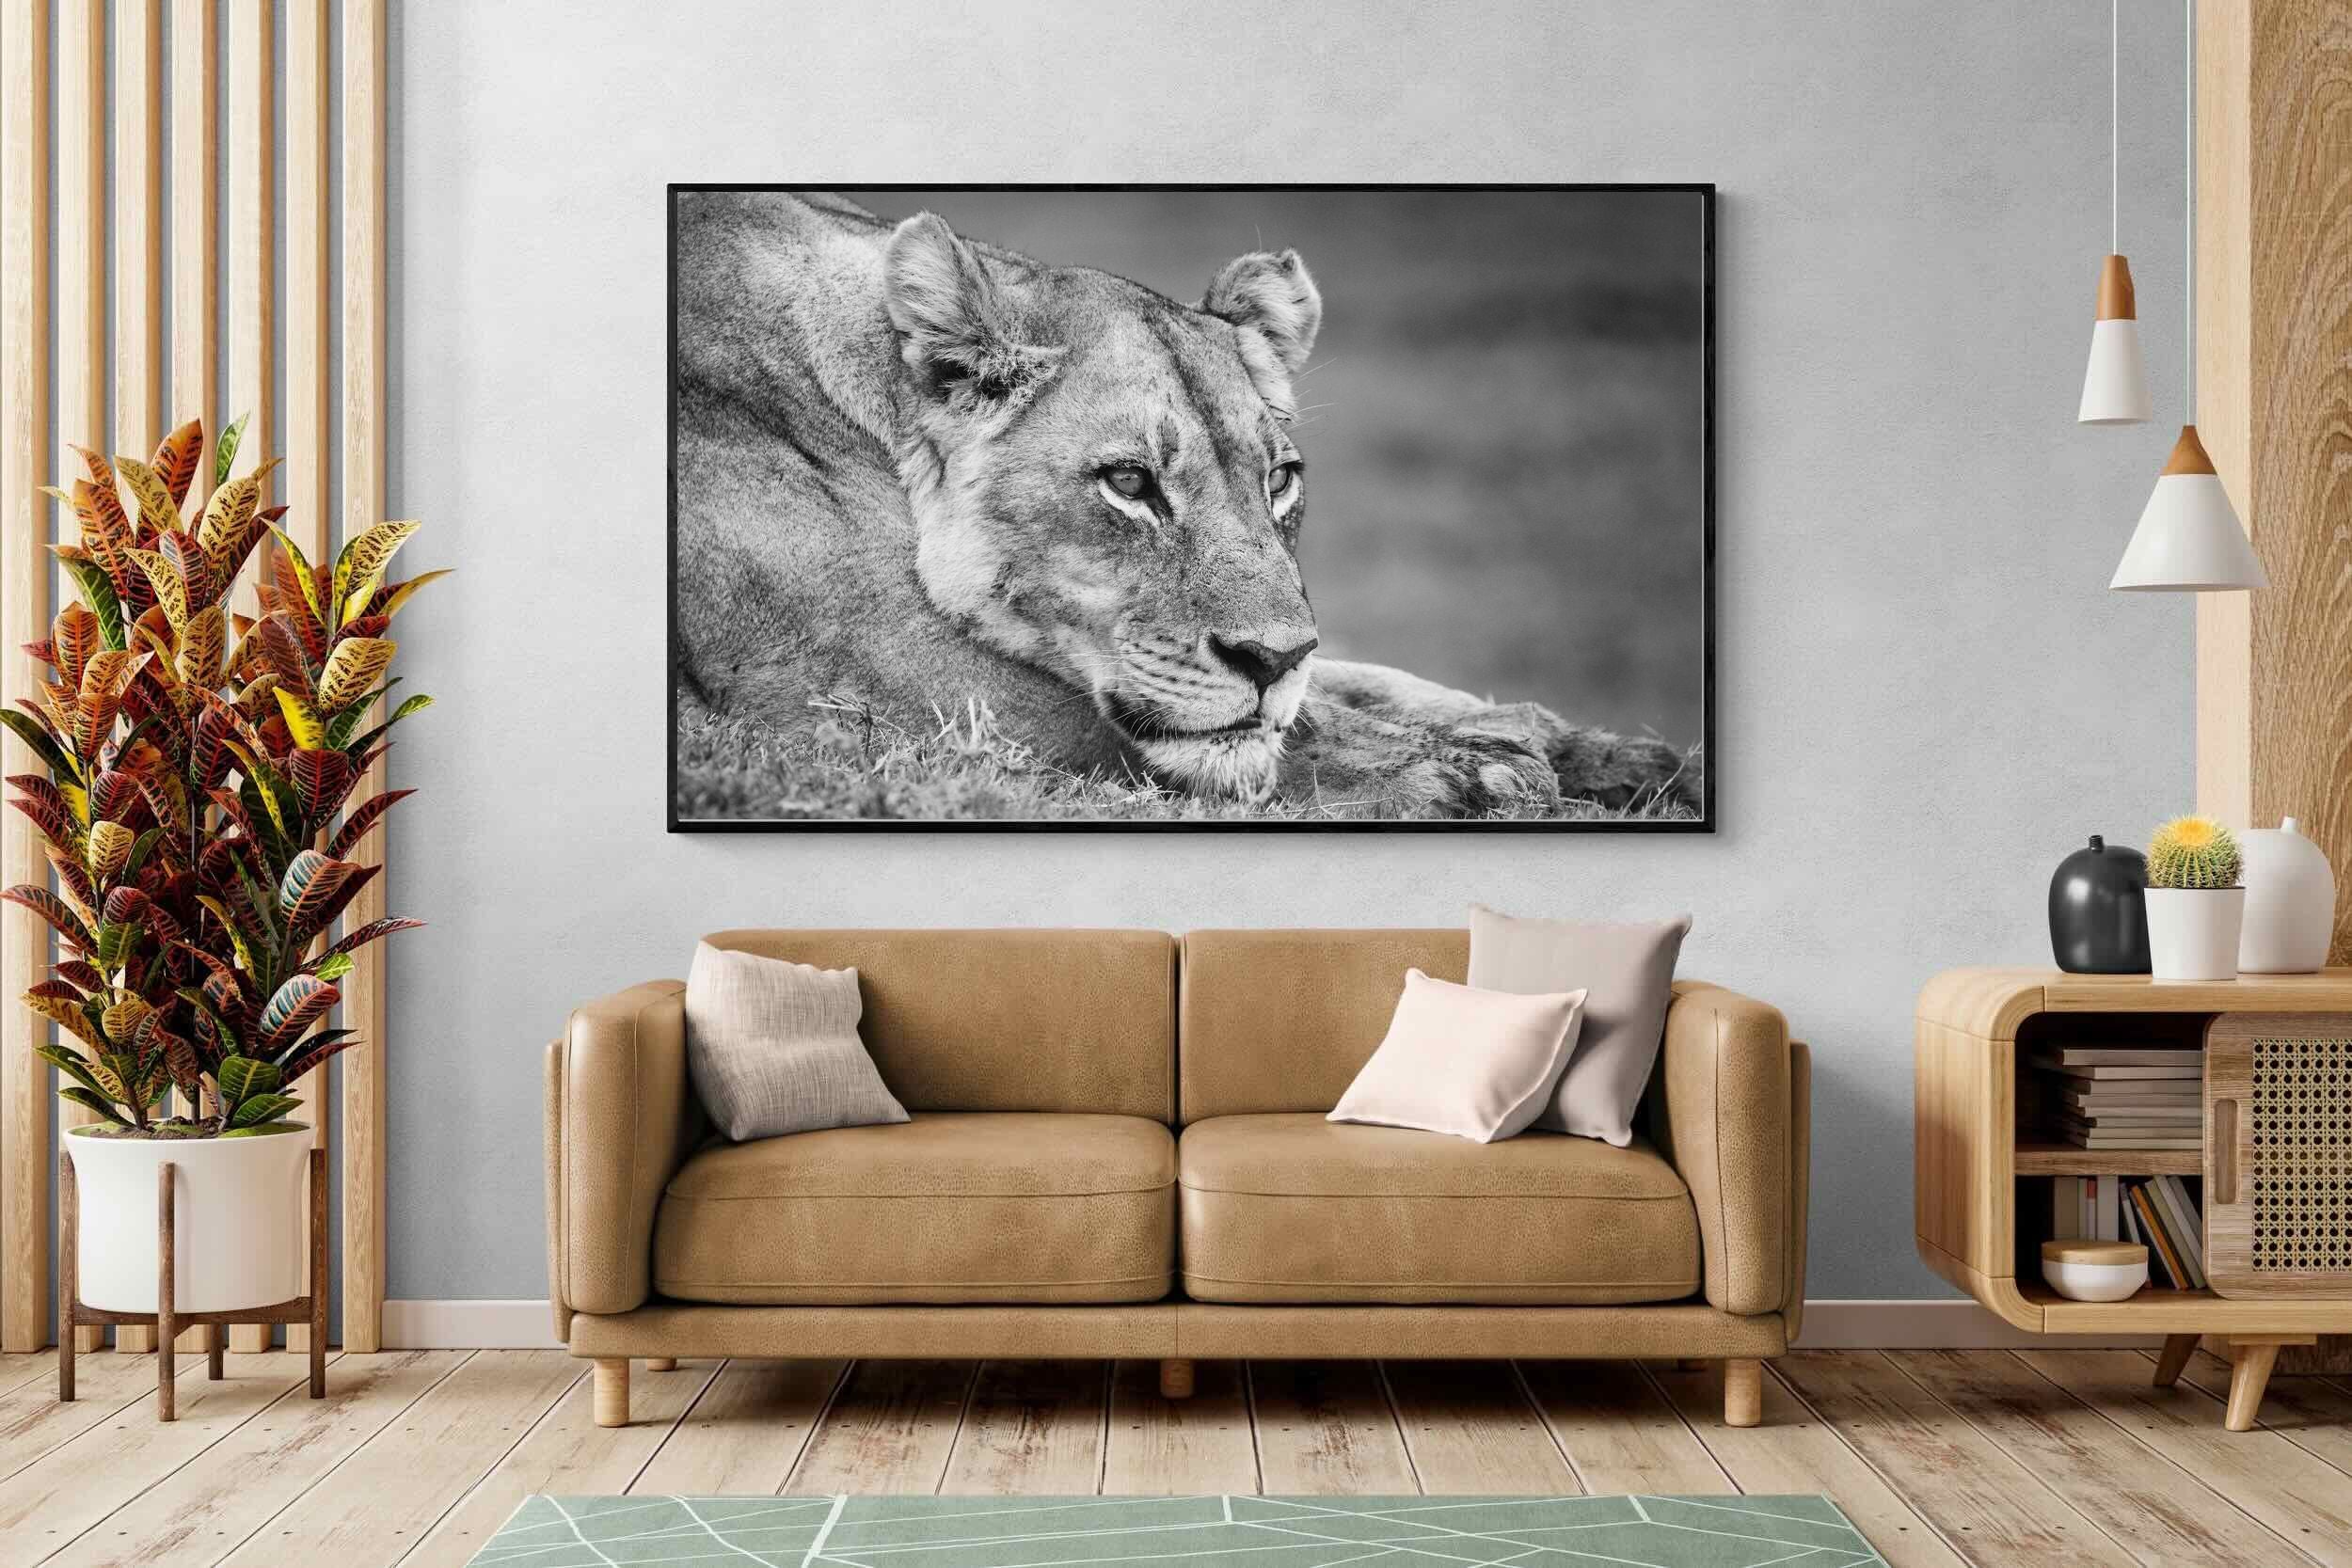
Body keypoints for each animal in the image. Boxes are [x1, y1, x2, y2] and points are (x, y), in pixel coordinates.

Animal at [673, 190, 1695, 819]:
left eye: (1278, 480)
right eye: (1129, 483)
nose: (1270, 660)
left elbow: (1367, 685)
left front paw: (1623, 758)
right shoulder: (859, 673)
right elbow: (1251, 730)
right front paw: (1473, 775)